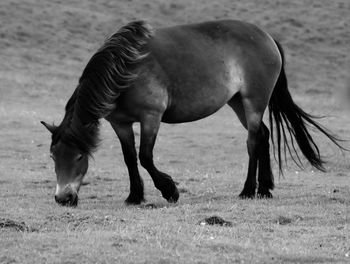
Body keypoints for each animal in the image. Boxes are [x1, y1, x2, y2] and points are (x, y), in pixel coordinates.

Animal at [40, 20, 342, 206]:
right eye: (54, 156)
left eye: (79, 157)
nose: (63, 198)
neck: (124, 70)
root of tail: (267, 36)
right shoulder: (120, 123)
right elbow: (129, 159)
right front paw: (135, 196)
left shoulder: (151, 117)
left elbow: (145, 157)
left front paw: (169, 190)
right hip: (237, 103)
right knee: (265, 136)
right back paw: (265, 189)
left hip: (254, 102)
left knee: (254, 141)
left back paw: (247, 190)